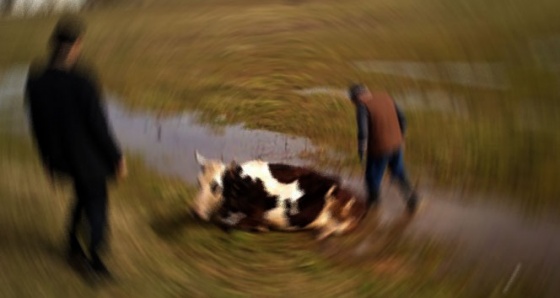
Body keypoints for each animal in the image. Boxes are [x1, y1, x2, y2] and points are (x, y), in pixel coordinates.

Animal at [191, 151, 368, 240]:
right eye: (198, 181)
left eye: (216, 186)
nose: (195, 211)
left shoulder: (256, 214)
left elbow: (234, 225)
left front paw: (262, 227)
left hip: (341, 203)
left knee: (343, 226)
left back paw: (323, 231)